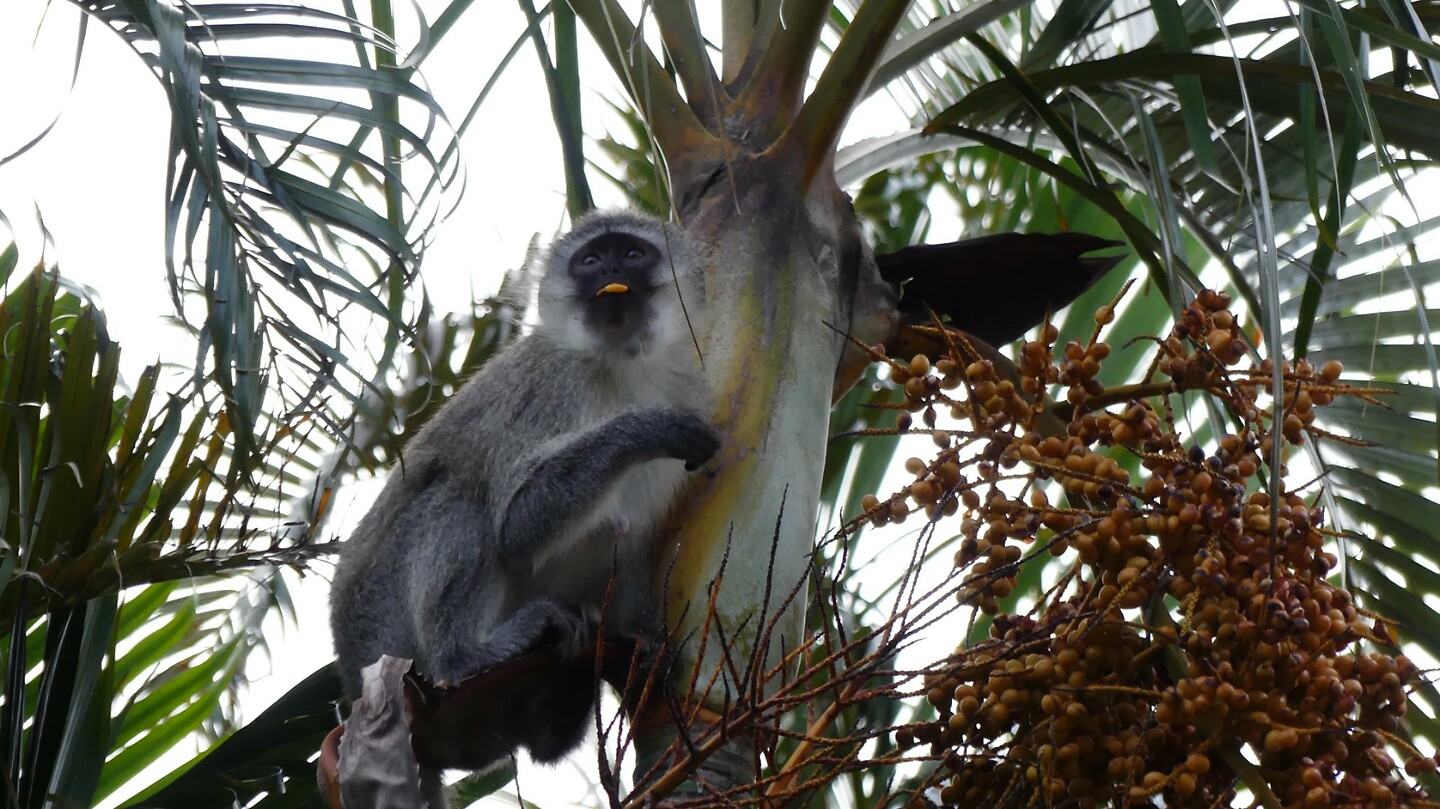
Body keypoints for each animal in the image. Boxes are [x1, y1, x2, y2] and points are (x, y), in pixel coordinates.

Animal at [329, 210, 717, 804]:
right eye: (590, 260)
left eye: (631, 254)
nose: (609, 270)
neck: (620, 366)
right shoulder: (551, 386)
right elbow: (516, 527)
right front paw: (647, 428)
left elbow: (634, 545)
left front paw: (641, 642)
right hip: (384, 631)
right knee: (459, 503)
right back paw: (465, 657)